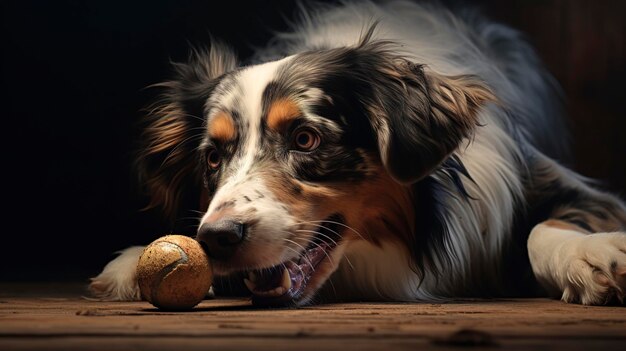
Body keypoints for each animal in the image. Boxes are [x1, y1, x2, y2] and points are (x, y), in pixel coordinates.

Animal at [89, 0, 624, 308]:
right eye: (214, 158)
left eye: (305, 138)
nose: (217, 237)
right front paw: (133, 261)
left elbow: (541, 228)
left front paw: (592, 255)